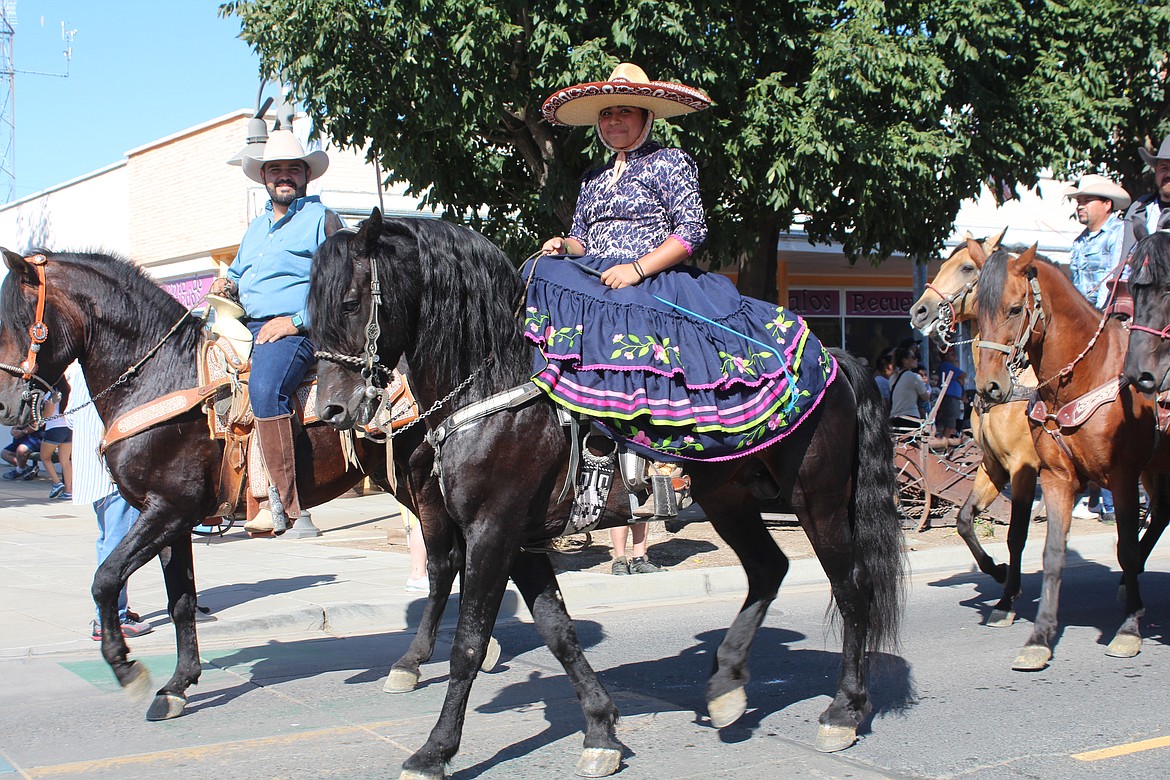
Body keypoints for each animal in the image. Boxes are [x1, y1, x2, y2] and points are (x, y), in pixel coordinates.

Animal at [308, 211, 903, 780]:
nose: (330, 410)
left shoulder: (492, 532)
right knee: (768, 569)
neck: (493, 380)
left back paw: (845, 710)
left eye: (351, 303)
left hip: (818, 501)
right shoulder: (521, 541)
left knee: (851, 590)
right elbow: (558, 632)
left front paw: (434, 751)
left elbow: (470, 644)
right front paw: (600, 731)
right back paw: (727, 685)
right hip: (730, 500)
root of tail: (836, 362)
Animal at [907, 235, 1048, 626]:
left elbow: (1017, 534)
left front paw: (1008, 597)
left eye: (967, 267)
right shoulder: (993, 465)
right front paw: (997, 571)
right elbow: (965, 520)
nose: (919, 311)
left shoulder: (1023, 467)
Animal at [968, 245, 1170, 673]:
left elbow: (1125, 546)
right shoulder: (1053, 476)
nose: (989, 387)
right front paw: (1039, 638)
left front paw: (1128, 630)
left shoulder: (1120, 476)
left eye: (1015, 309)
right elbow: (1052, 552)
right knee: (1162, 512)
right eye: (977, 310)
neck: (1086, 375)